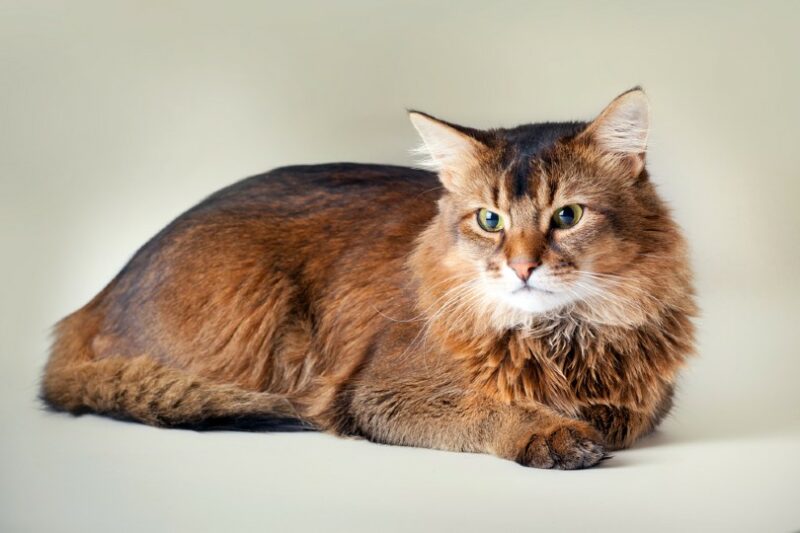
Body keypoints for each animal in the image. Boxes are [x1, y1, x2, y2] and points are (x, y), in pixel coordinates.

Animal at [42, 88, 692, 470]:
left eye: (568, 216)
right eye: (490, 220)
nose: (523, 266)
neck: (559, 337)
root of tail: (90, 305)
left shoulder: (650, 395)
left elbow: (625, 414)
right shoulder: (377, 392)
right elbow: (486, 408)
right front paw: (550, 432)